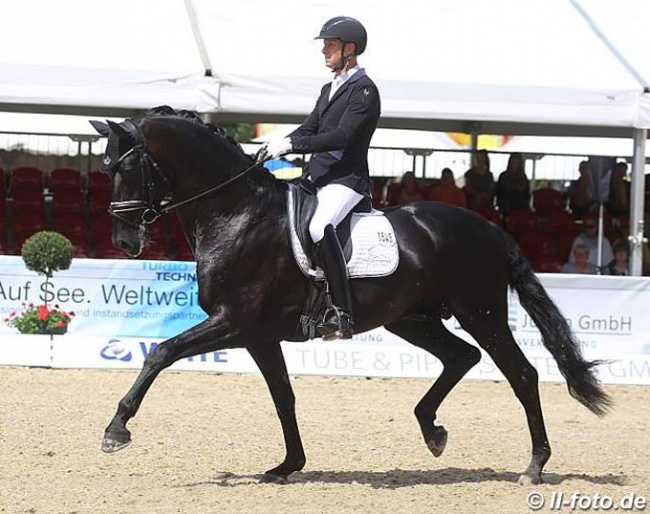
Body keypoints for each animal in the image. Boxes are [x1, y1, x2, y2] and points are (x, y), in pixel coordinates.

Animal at [90, 108, 608, 484]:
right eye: (106, 167)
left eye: (128, 166)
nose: (124, 242)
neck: (238, 214)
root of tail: (489, 228)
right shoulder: (258, 335)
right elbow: (283, 396)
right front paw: (288, 466)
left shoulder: (233, 322)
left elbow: (161, 352)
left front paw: (116, 430)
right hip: (412, 319)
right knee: (461, 356)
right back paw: (432, 430)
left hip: (480, 312)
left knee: (521, 374)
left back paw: (534, 466)